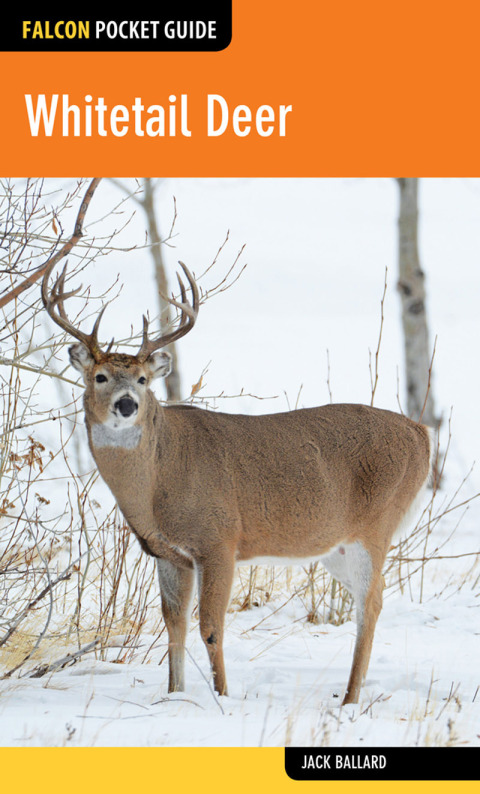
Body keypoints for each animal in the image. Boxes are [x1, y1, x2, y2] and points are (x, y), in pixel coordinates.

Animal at [42, 259, 433, 706]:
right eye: (101, 376)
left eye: (142, 379)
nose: (127, 405)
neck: (158, 481)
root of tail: (422, 433)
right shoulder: (167, 553)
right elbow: (173, 627)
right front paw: (174, 695)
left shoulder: (219, 538)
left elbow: (211, 627)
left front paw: (222, 697)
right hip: (336, 544)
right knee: (371, 596)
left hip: (376, 524)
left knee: (371, 602)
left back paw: (349, 699)